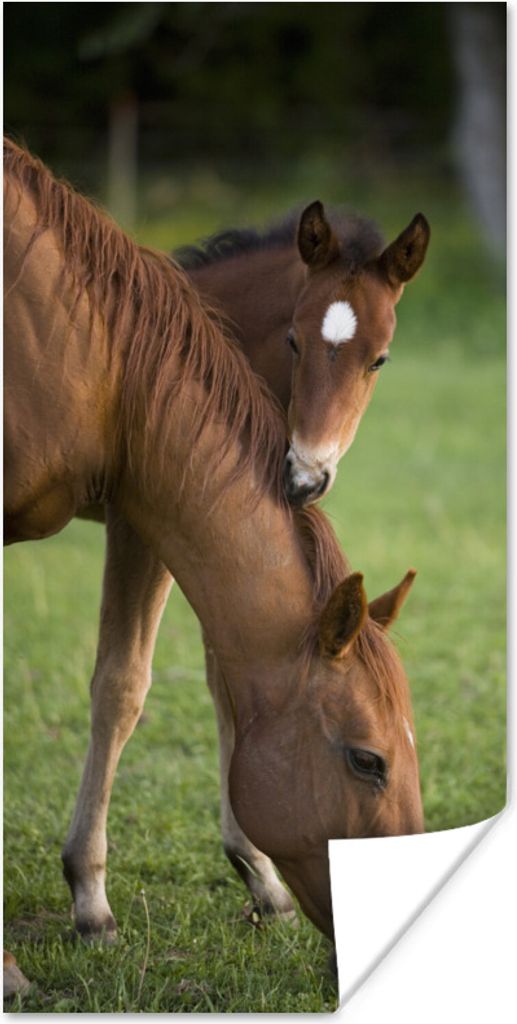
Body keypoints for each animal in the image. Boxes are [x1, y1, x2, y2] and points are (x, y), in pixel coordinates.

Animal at [4, 138, 424, 950]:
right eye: (294, 338)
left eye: (379, 358)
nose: (307, 473)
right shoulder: (141, 521)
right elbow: (123, 687)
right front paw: (90, 897)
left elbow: (222, 679)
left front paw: (257, 875)